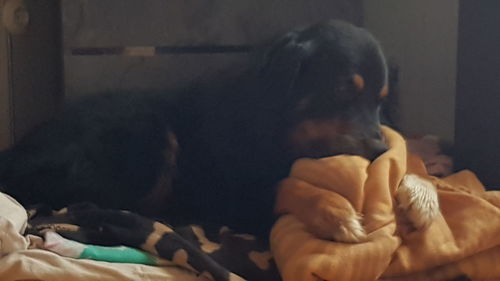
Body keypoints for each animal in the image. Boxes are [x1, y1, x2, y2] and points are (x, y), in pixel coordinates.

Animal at [0, 19, 430, 243]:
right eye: (342, 90)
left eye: (381, 101)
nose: (377, 151)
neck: (272, 121)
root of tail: (14, 153)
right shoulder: (230, 194)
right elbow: (285, 186)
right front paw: (335, 212)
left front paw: (418, 193)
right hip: (148, 135)